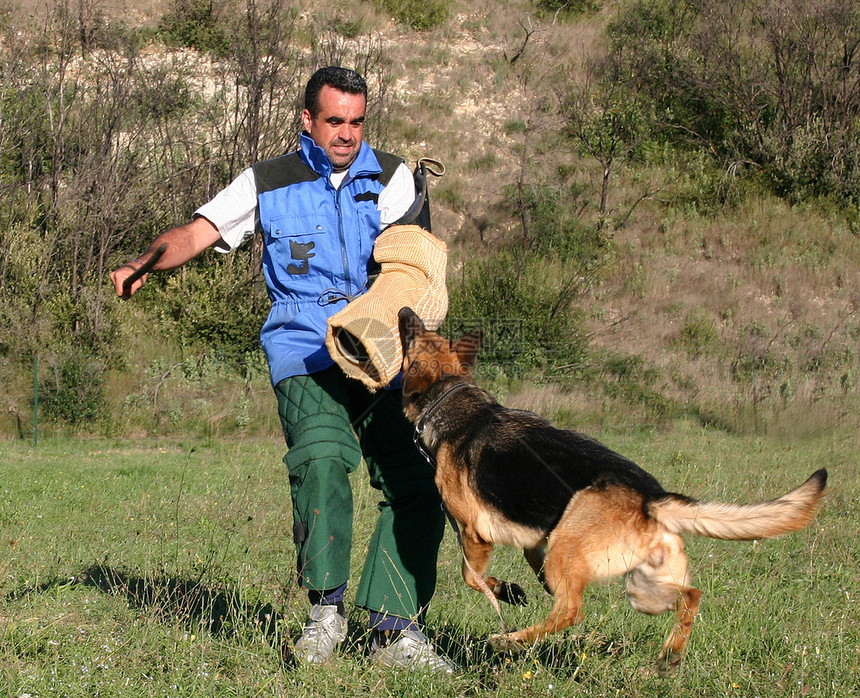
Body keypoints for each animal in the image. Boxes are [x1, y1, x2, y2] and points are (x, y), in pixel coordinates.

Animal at [396, 308, 828, 672]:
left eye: (412, 336)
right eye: (424, 331)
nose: (403, 310)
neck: (451, 397)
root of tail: (652, 498)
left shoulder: (474, 534)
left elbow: (471, 577)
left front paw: (502, 592)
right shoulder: (534, 541)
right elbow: (520, 569)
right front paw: (511, 591)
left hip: (576, 555)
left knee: (571, 612)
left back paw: (511, 640)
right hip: (641, 588)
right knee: (691, 595)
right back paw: (670, 655)